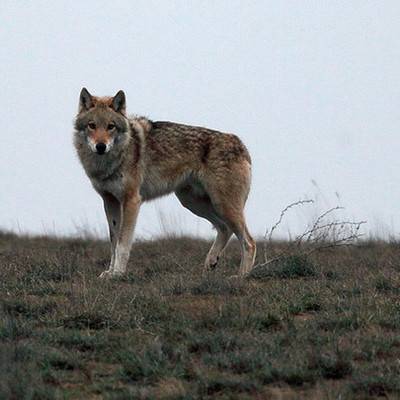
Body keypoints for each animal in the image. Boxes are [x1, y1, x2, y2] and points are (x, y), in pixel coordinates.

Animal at [74, 89, 256, 278]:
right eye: (92, 125)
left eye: (111, 126)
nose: (101, 146)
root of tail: (240, 144)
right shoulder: (110, 201)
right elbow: (113, 243)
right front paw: (110, 272)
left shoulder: (131, 201)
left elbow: (122, 243)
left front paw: (118, 273)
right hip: (193, 202)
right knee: (224, 228)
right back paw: (210, 264)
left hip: (222, 206)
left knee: (249, 242)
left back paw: (241, 276)